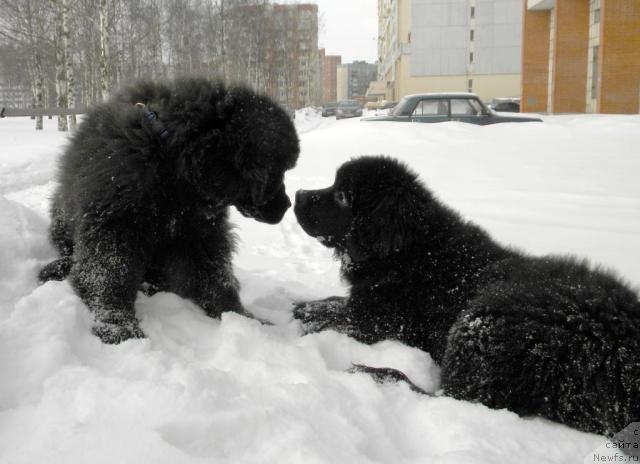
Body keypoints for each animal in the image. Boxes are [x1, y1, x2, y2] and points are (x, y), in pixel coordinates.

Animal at [40, 77, 300, 344]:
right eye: (277, 172)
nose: (288, 205)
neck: (171, 163)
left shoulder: (201, 233)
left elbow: (215, 279)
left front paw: (244, 318)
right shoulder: (115, 223)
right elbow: (109, 276)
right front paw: (117, 325)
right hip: (61, 216)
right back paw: (57, 267)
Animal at [292, 155, 636, 436]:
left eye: (341, 196)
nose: (297, 194)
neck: (407, 251)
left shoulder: (378, 320)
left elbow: (329, 314)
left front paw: (299, 313)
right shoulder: (363, 302)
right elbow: (331, 302)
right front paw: (301, 304)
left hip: (482, 319)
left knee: (446, 396)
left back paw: (370, 373)